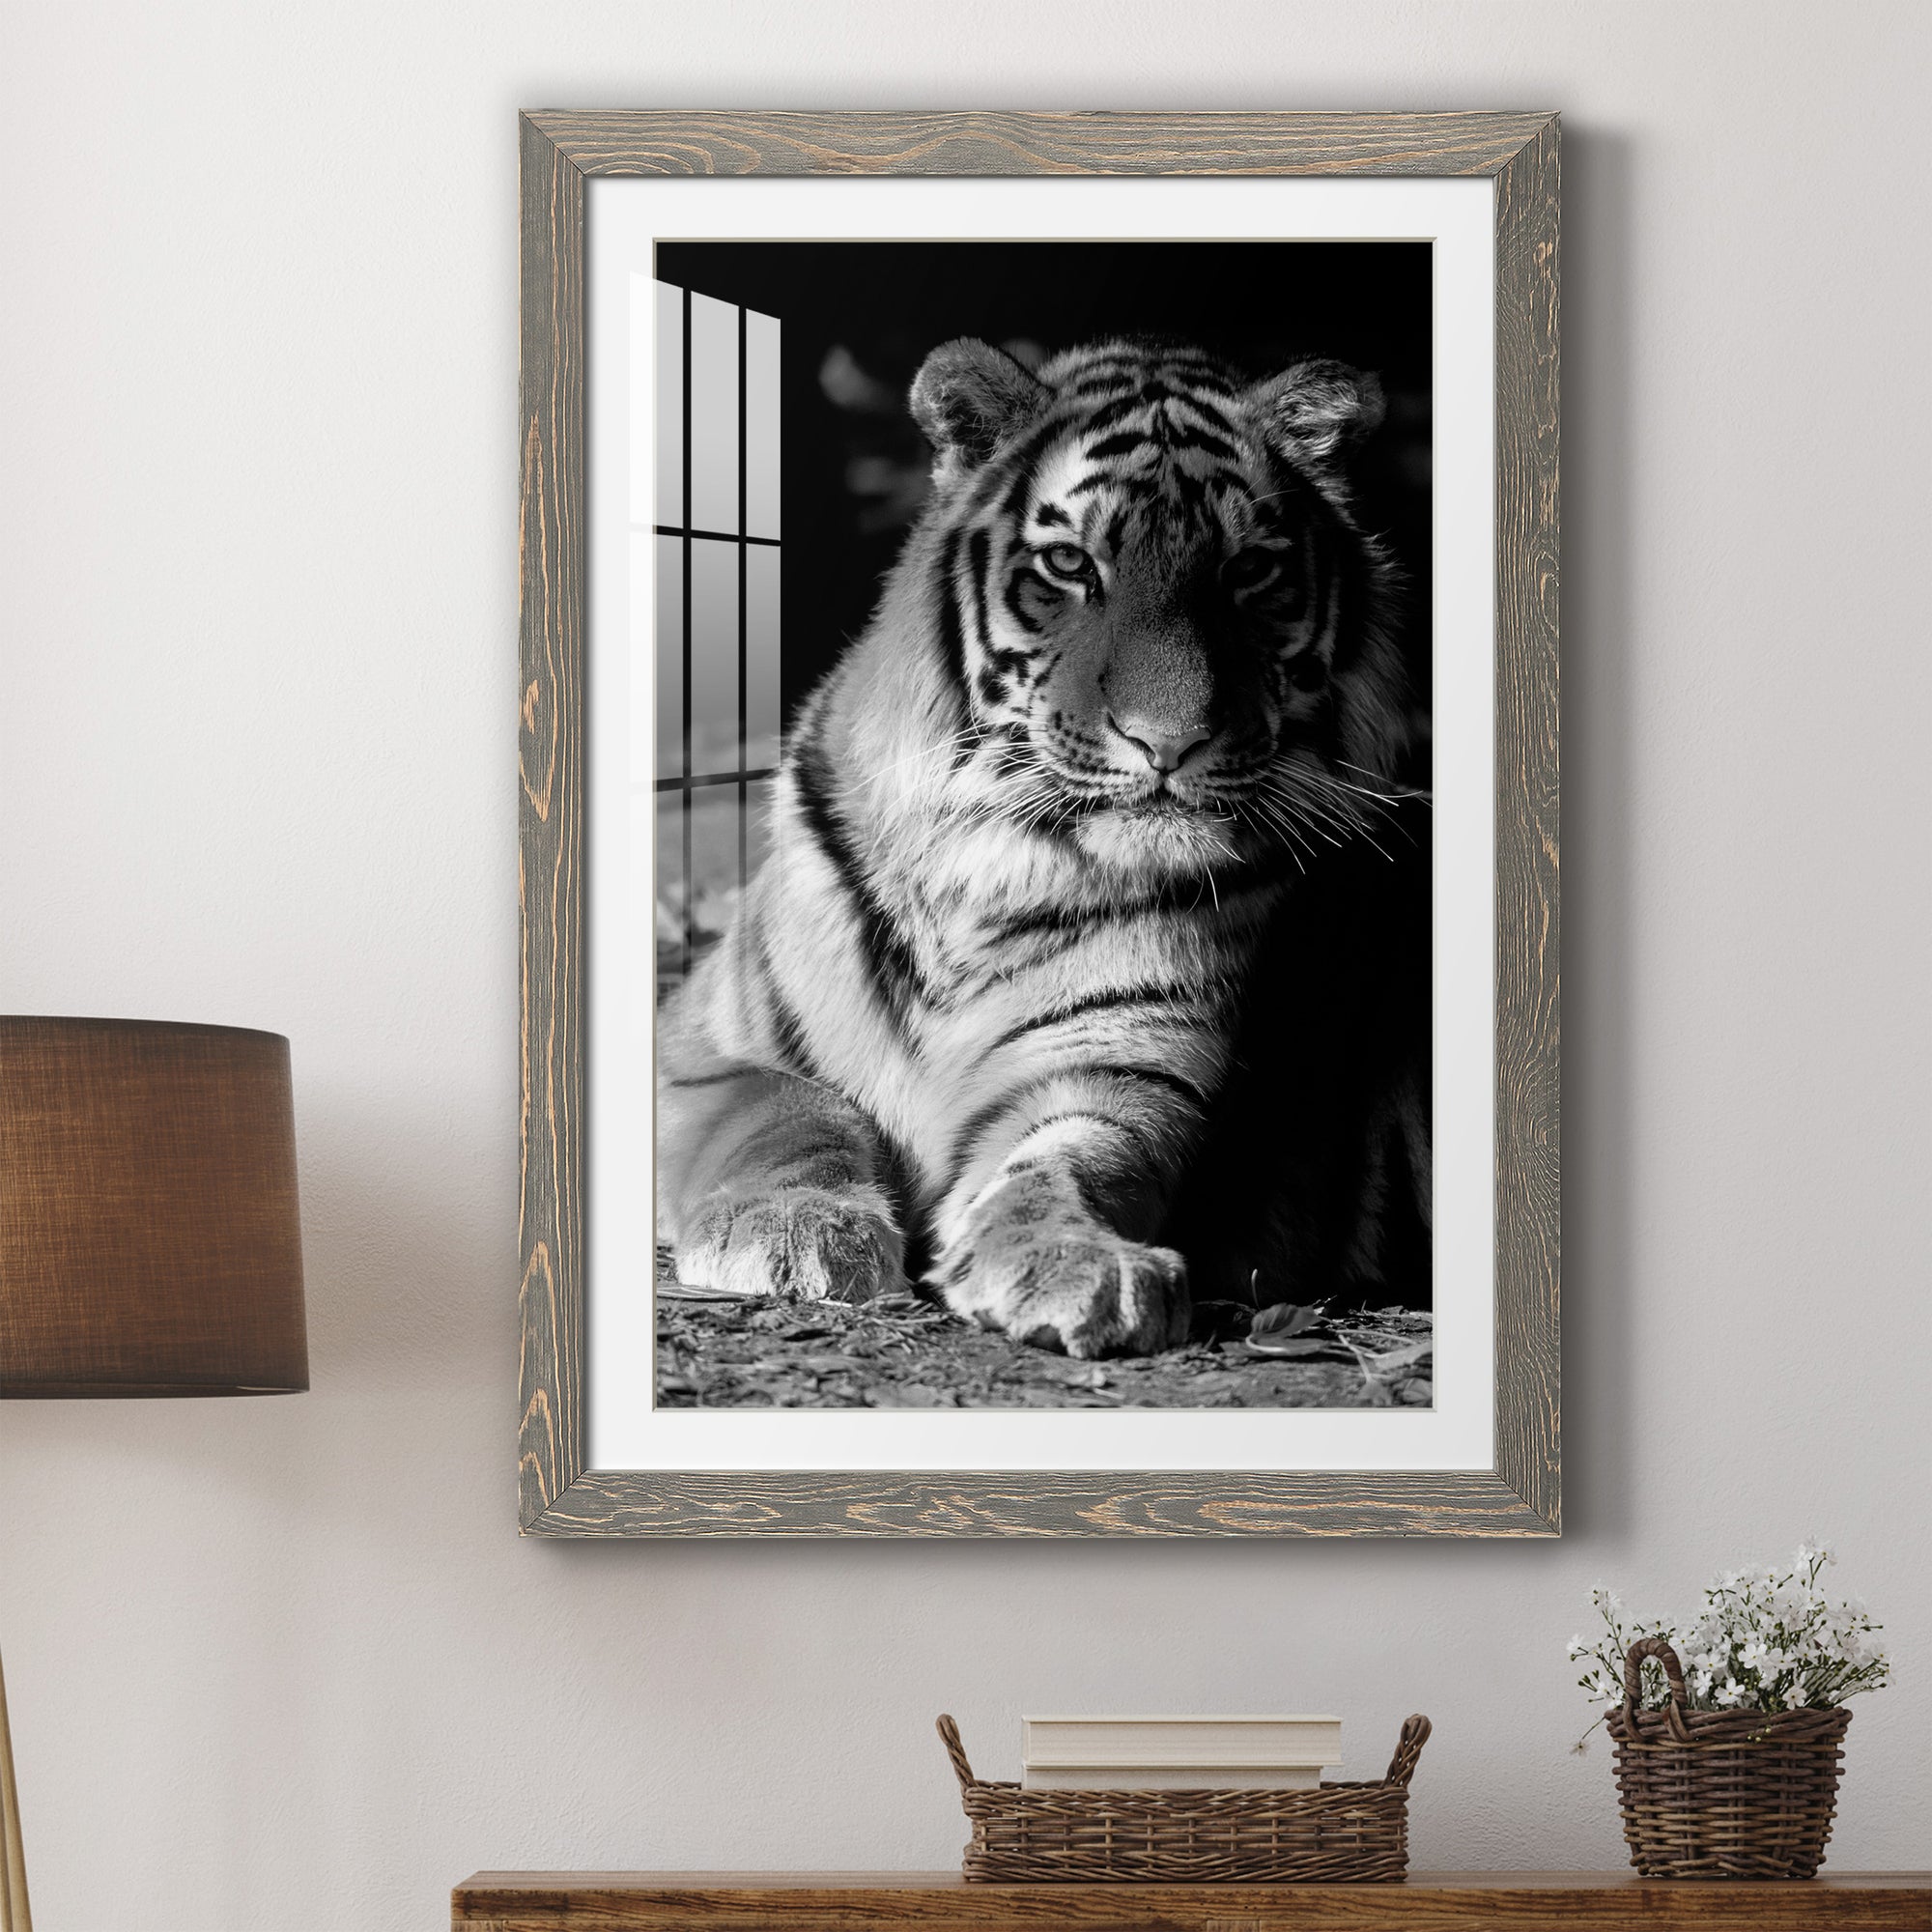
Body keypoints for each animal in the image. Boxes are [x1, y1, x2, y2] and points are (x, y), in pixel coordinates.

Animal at [655, 334, 1430, 1361]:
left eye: (1248, 572)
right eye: (1069, 564)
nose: (1169, 742)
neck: (989, 866)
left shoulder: (1118, 1069)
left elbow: (1069, 1163)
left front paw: (1077, 1263)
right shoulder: (698, 1045)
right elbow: (789, 1111)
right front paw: (793, 1231)